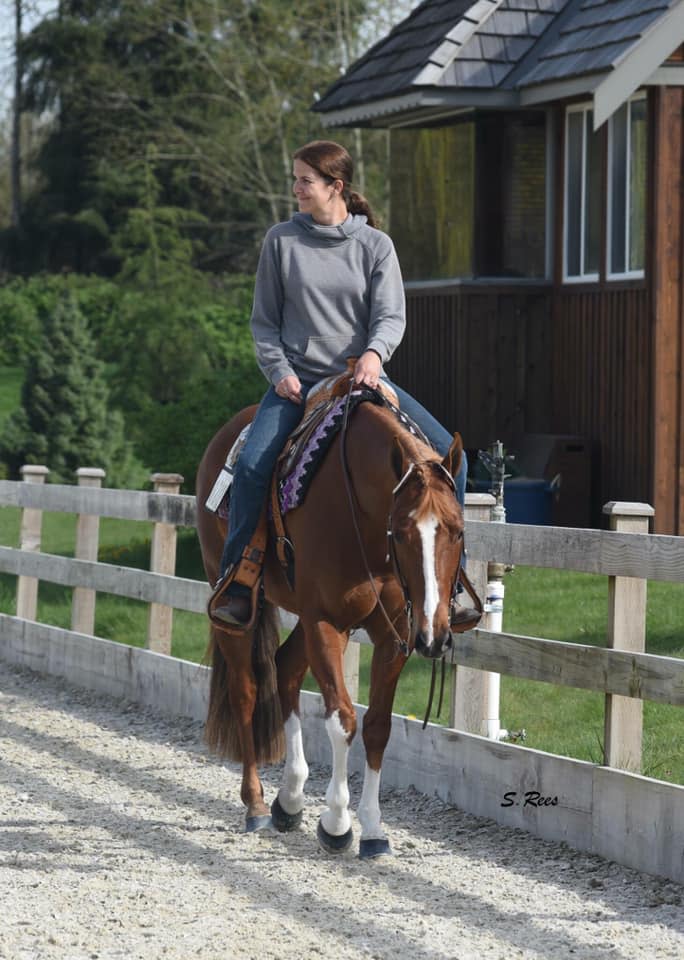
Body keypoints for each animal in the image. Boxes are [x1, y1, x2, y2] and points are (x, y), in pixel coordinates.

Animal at [195, 394, 468, 860]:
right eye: (402, 532)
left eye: (459, 530)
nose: (435, 635)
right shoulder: (326, 621)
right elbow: (342, 720)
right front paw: (338, 823)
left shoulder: (394, 632)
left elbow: (377, 726)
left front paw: (373, 828)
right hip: (233, 598)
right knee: (246, 691)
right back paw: (256, 804)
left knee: (285, 669)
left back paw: (290, 799)